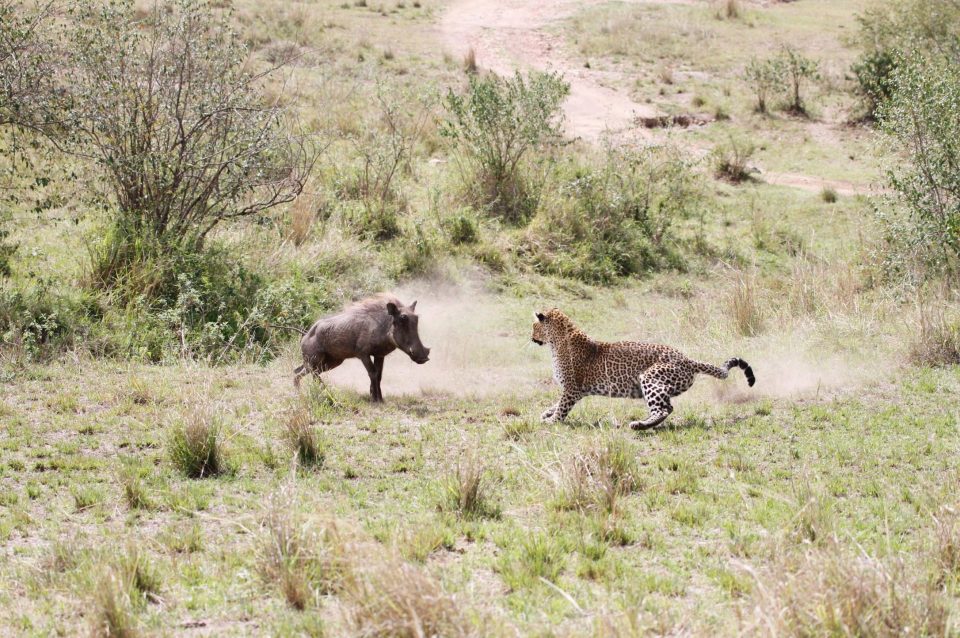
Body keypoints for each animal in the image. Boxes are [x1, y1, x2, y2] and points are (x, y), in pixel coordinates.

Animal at [528, 308, 752, 432]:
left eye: (533, 327)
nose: (531, 337)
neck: (557, 342)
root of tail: (687, 359)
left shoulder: (572, 388)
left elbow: (562, 406)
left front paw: (552, 421)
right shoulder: (576, 391)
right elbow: (557, 403)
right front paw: (547, 413)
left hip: (650, 377)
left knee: (662, 409)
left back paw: (639, 425)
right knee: (668, 407)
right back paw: (644, 424)